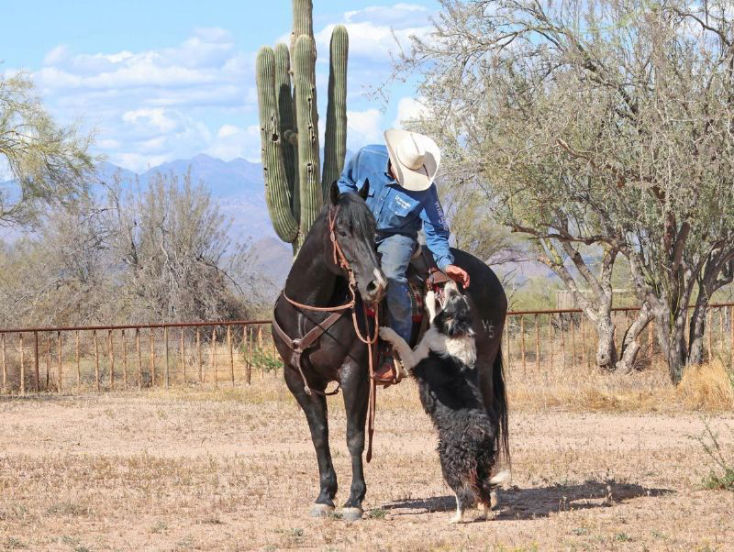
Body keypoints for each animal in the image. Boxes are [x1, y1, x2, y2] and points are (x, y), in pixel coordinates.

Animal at [272, 181, 508, 521]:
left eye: (373, 231)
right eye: (342, 231)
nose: (376, 285)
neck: (310, 311)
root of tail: (490, 276)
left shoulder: (355, 374)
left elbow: (354, 437)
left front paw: (354, 500)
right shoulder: (299, 379)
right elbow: (319, 436)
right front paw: (325, 496)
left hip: (485, 366)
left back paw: (485, 493)